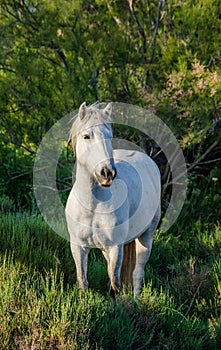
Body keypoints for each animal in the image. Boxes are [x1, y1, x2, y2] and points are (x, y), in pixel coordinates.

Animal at [64, 102, 160, 298]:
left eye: (109, 136)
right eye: (86, 136)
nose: (107, 173)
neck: (92, 205)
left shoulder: (116, 247)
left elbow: (115, 282)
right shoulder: (78, 246)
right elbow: (82, 280)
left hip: (146, 236)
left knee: (137, 273)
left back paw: (136, 301)